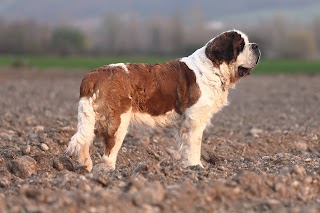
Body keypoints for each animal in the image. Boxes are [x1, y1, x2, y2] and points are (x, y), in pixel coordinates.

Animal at [67, 29, 260, 171]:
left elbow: (185, 146)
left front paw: (187, 167)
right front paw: (196, 167)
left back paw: (86, 168)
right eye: (241, 45)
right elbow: (194, 145)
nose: (256, 46)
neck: (213, 67)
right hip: (118, 123)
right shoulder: (194, 120)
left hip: (92, 119)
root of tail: (94, 74)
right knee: (109, 151)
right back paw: (108, 172)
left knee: (84, 141)